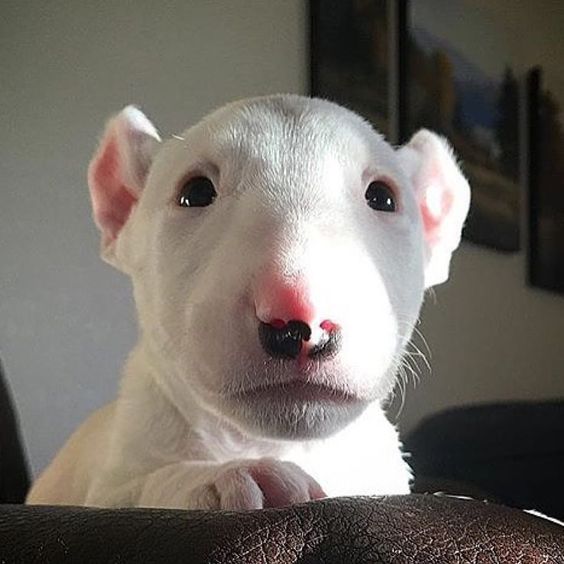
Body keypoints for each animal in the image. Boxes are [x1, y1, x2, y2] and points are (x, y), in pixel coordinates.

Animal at [26, 94, 470, 508]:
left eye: (382, 196)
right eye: (195, 192)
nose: (299, 316)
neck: (279, 445)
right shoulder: (110, 484)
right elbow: (141, 487)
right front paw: (232, 479)